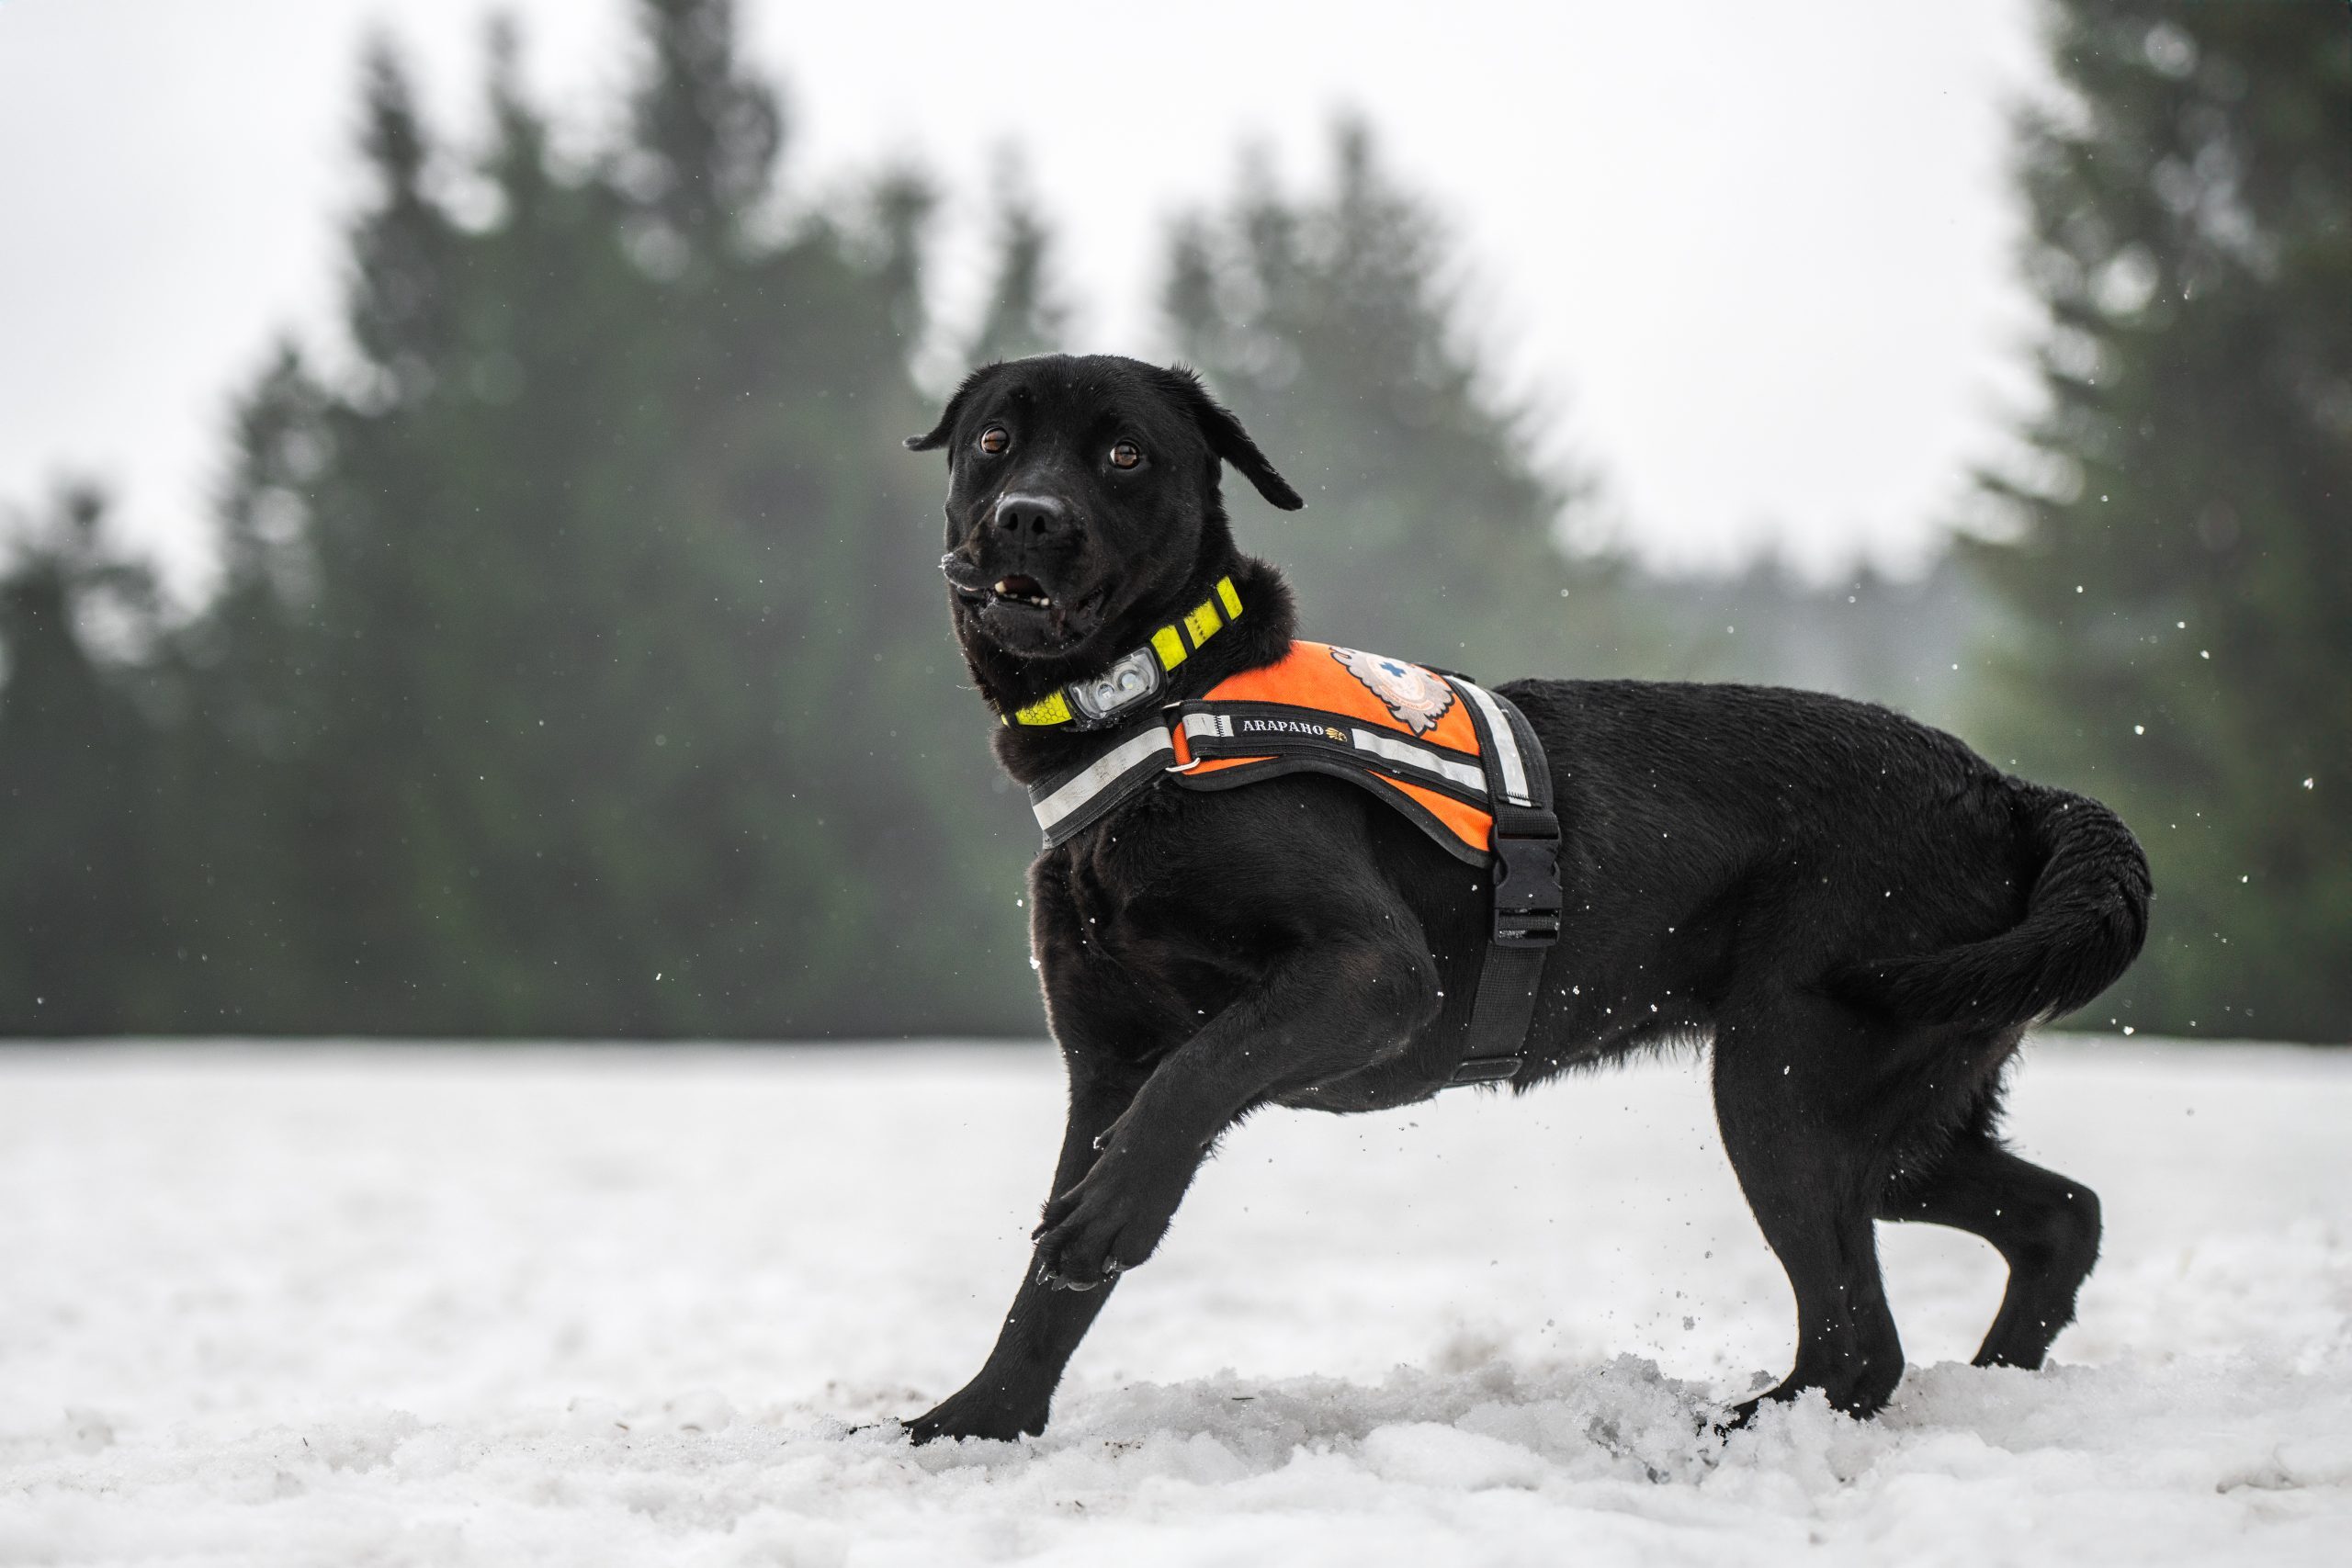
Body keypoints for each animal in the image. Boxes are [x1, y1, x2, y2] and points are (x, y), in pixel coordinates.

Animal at [898, 353, 2150, 1443]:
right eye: (994, 441)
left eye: (1123, 453)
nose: (1027, 517)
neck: (1152, 711)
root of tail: (2007, 792)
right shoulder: (1105, 1056)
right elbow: (1048, 1289)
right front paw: (972, 1426)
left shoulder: (1368, 975)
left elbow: (1185, 1091)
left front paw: (1107, 1220)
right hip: (1899, 1113)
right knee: (2059, 1218)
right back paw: (1995, 1382)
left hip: (1784, 1078)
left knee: (1858, 1345)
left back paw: (1722, 1434)